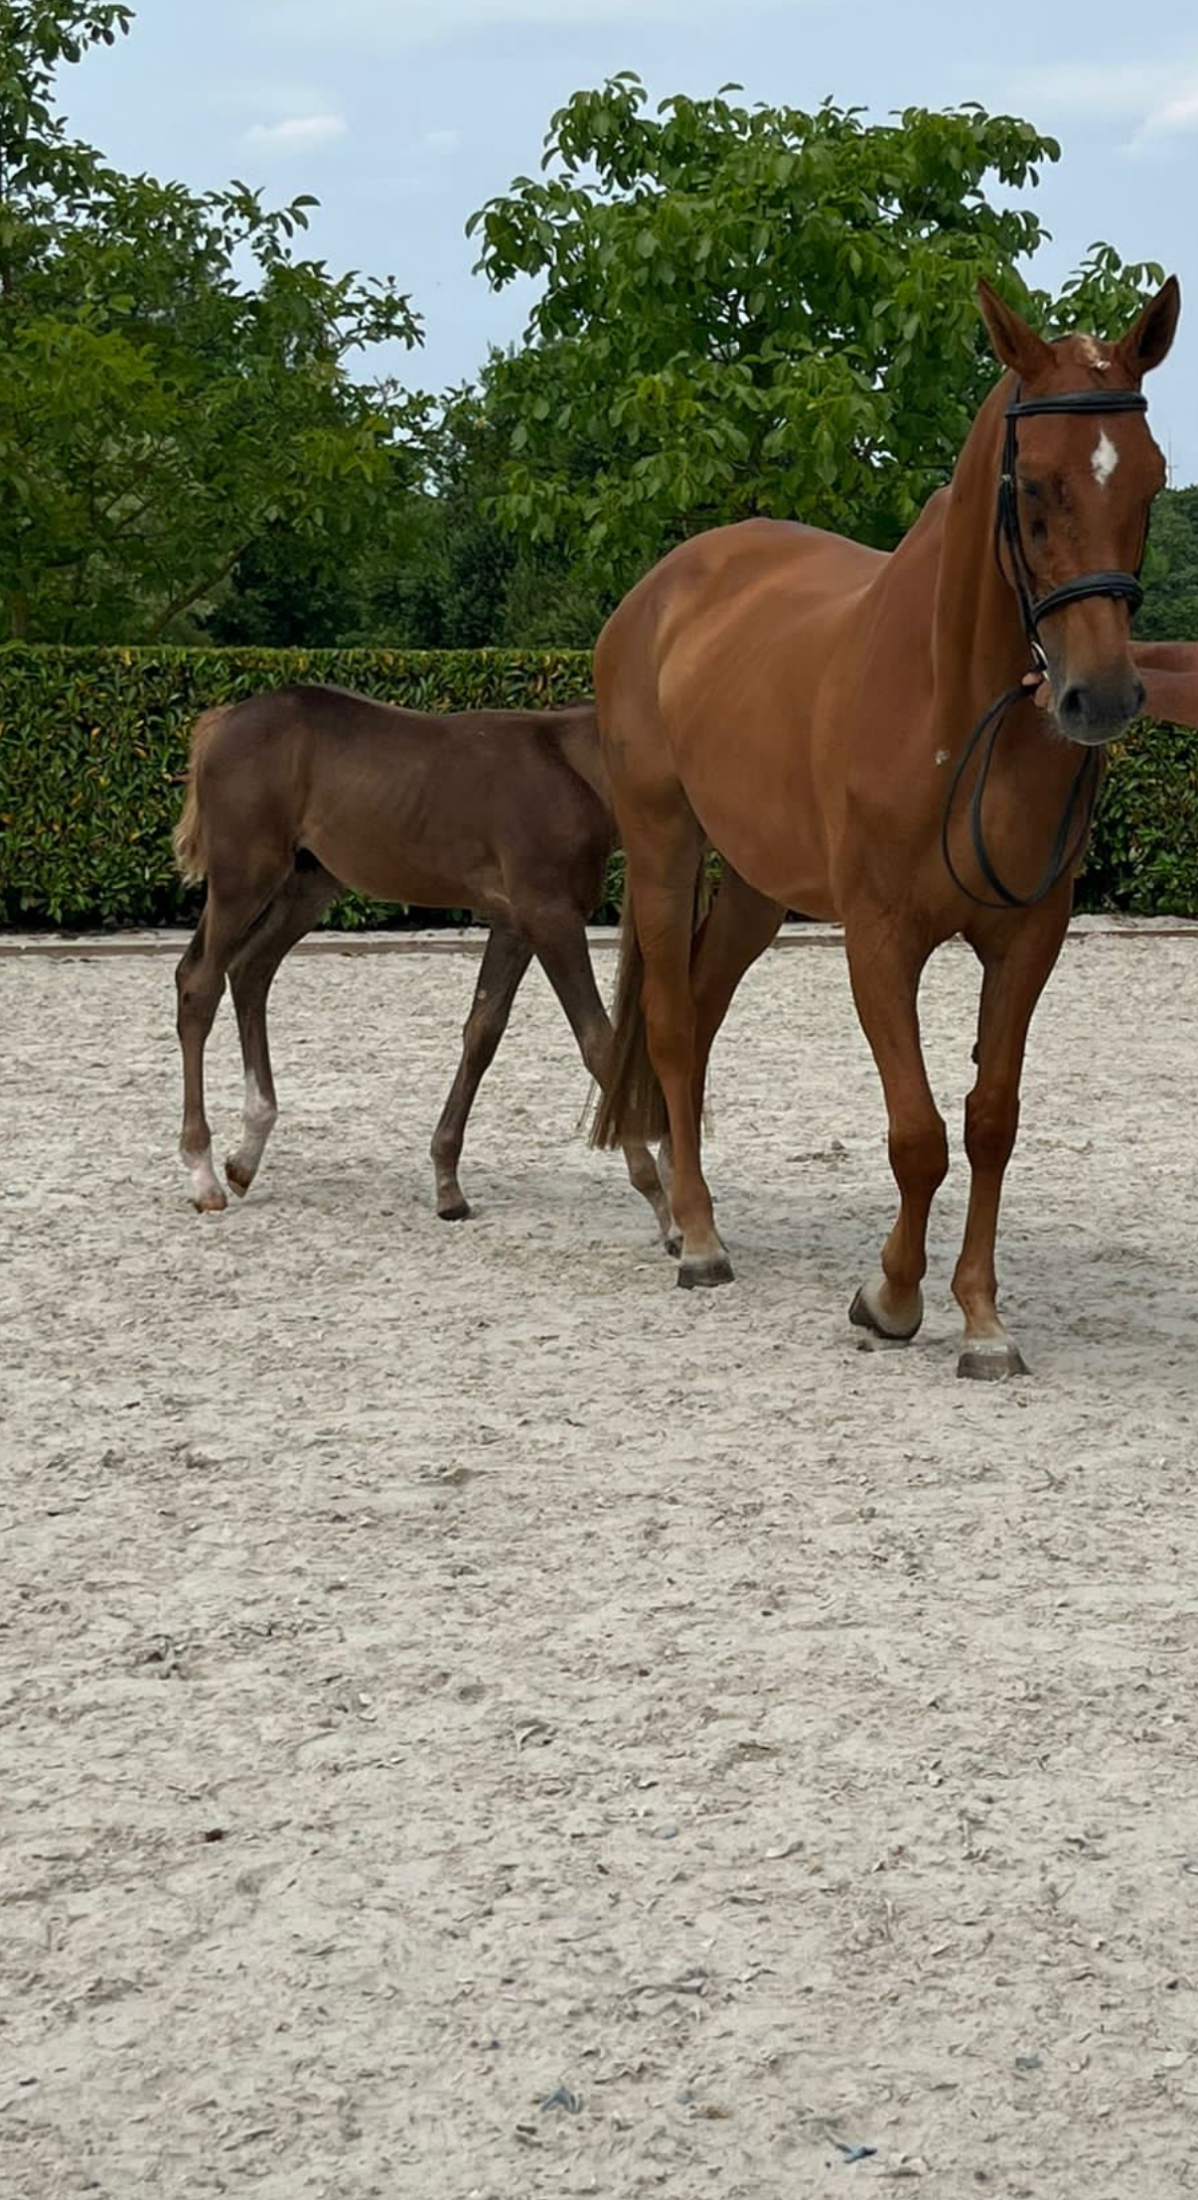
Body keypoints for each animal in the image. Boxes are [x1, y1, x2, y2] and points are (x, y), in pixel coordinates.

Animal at [172, 685, 670, 1237]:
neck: (576, 767)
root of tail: (222, 721)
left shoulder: (514, 922)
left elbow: (482, 1032)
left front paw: (448, 1187)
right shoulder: (551, 916)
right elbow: (598, 1042)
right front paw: (666, 1206)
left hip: (307, 885)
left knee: (251, 971)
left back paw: (247, 1153)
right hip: (242, 878)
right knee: (199, 983)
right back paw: (203, 1174)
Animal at [592, 276, 1180, 1379]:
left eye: (1153, 482)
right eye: (1034, 486)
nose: (1103, 698)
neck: (953, 711)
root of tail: (659, 591)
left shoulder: (1027, 941)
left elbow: (989, 1121)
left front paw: (982, 1319)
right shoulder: (878, 939)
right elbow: (917, 1133)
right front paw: (891, 1296)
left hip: (757, 884)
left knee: (705, 1005)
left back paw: (690, 1213)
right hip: (662, 844)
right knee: (675, 1022)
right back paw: (698, 1238)